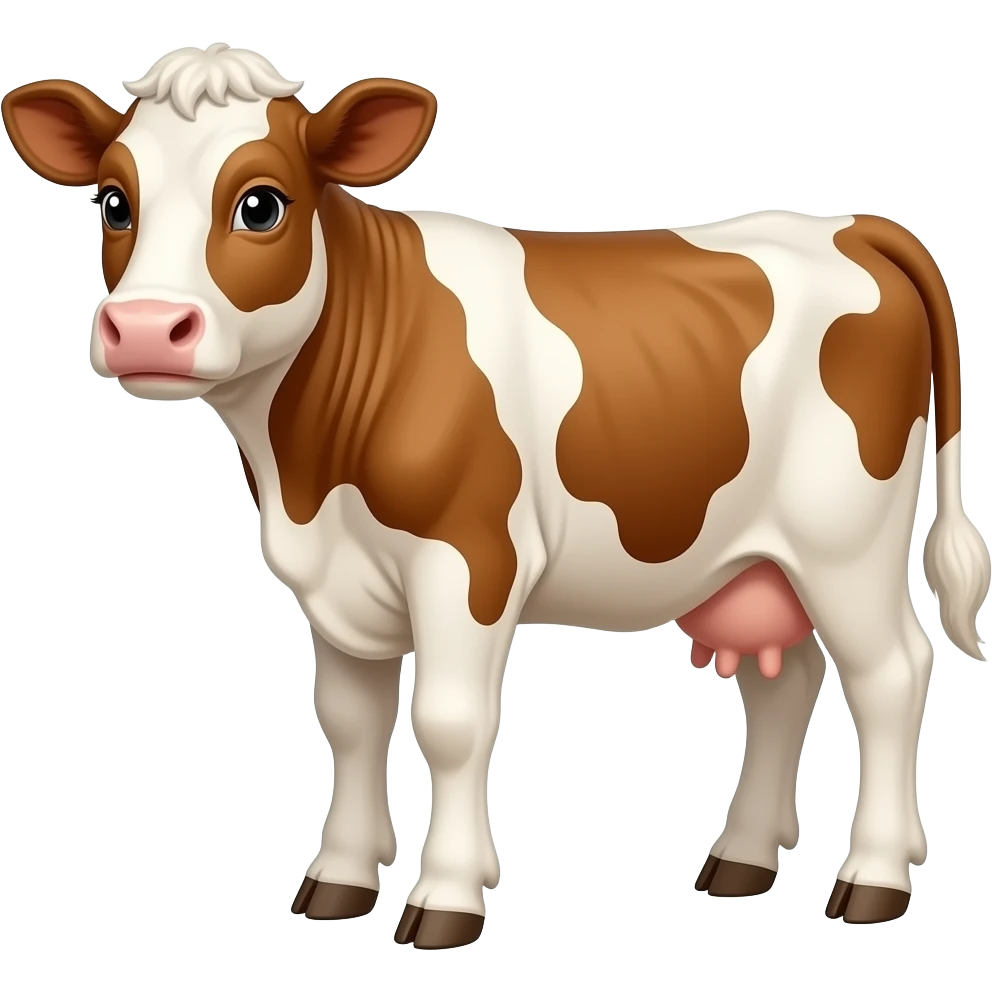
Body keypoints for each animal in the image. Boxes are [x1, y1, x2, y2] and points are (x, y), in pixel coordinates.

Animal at [3, 44, 988, 947]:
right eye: (113, 202)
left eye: (261, 204)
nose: (143, 328)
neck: (306, 473)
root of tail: (850, 223)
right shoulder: (336, 580)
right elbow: (350, 724)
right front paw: (338, 881)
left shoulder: (467, 557)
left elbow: (449, 722)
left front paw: (445, 898)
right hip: (757, 558)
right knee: (786, 684)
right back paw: (741, 860)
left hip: (845, 542)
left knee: (892, 675)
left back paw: (874, 879)